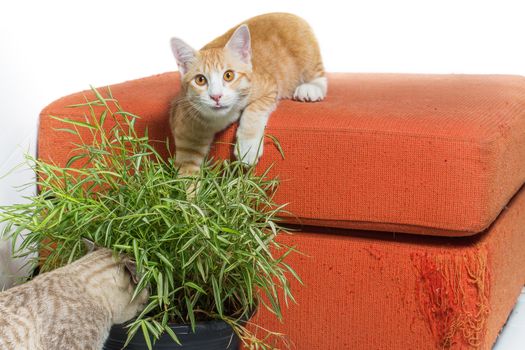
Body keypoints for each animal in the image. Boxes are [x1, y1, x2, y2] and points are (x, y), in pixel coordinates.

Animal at [170, 12, 326, 174]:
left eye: (228, 75)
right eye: (200, 80)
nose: (216, 96)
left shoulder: (269, 85)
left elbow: (254, 110)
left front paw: (247, 147)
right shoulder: (183, 117)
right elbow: (187, 162)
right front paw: (188, 179)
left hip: (307, 53)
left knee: (318, 75)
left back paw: (311, 88)